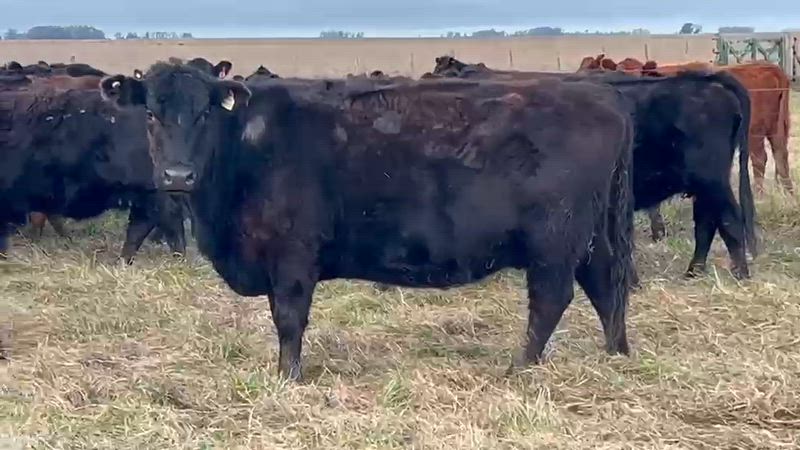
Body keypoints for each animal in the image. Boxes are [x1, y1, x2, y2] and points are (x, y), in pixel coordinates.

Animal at [101, 62, 636, 381]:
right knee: (606, 282)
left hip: (554, 241)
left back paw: (520, 367)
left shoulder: (293, 253)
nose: (177, 175)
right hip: (588, 237)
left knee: (552, 299)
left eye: (205, 113)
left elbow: (289, 317)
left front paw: (287, 377)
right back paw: (616, 352)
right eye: (150, 114)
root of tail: (600, 95)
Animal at [434, 57, 758, 279]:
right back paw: (694, 270)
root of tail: (705, 80)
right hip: (702, 182)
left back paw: (740, 272)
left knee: (728, 218)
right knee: (707, 221)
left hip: (711, 178)